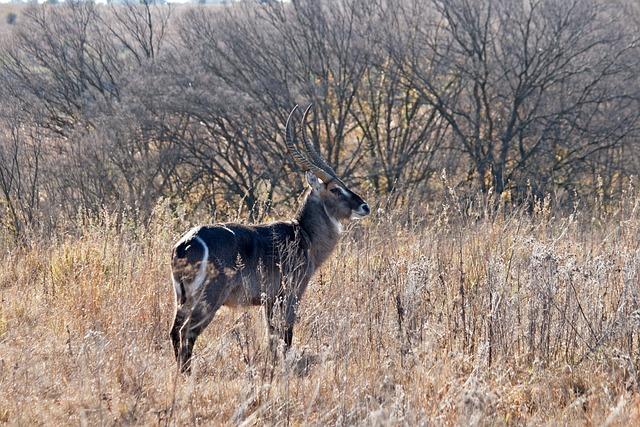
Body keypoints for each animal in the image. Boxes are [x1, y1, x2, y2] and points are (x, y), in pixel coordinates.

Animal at [170, 105, 370, 372]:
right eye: (335, 189)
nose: (365, 206)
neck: (303, 234)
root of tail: (188, 242)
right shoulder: (290, 294)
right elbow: (285, 335)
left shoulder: (269, 300)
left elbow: (272, 338)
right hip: (208, 298)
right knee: (187, 332)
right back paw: (188, 374)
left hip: (182, 298)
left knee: (174, 331)